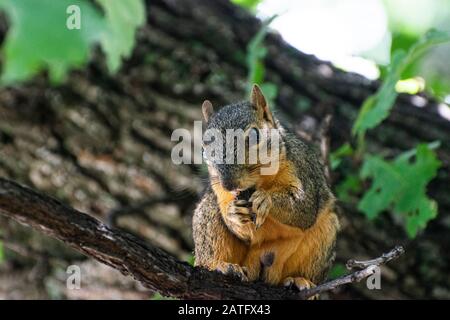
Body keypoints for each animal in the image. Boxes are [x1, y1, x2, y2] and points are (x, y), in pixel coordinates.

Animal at [192, 84, 340, 292]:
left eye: (255, 135)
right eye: (205, 148)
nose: (229, 184)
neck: (260, 183)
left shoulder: (302, 171)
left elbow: (304, 209)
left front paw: (265, 200)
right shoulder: (221, 193)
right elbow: (242, 231)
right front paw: (233, 213)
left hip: (324, 235)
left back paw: (300, 279)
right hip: (209, 214)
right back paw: (221, 265)